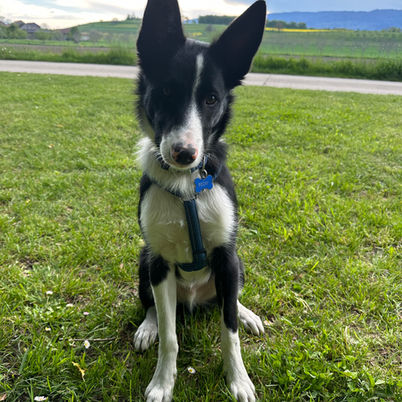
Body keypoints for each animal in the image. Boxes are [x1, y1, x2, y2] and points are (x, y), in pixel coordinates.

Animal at [134, 1, 266, 401]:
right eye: (165, 91)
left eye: (211, 99)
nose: (185, 153)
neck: (187, 186)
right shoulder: (159, 261)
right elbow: (170, 337)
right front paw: (163, 382)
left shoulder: (226, 256)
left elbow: (229, 333)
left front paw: (238, 380)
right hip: (143, 261)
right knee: (152, 307)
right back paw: (147, 327)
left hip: (239, 263)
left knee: (229, 299)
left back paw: (246, 312)